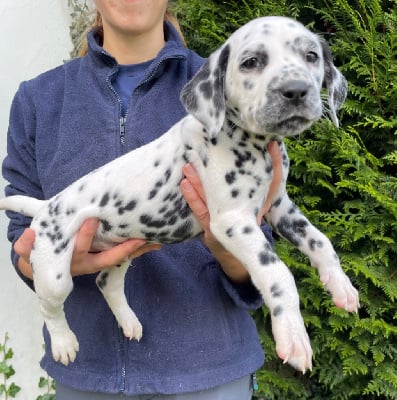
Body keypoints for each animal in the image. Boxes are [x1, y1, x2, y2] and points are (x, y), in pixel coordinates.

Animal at [0, 15, 358, 372]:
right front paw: (293, 337)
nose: (296, 90)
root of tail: (47, 206)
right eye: (251, 62)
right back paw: (63, 343)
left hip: (121, 250)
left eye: (311, 56)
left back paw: (129, 322)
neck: (248, 141)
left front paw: (341, 286)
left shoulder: (280, 207)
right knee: (50, 307)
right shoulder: (234, 221)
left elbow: (320, 242)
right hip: (54, 271)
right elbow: (278, 273)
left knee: (106, 282)